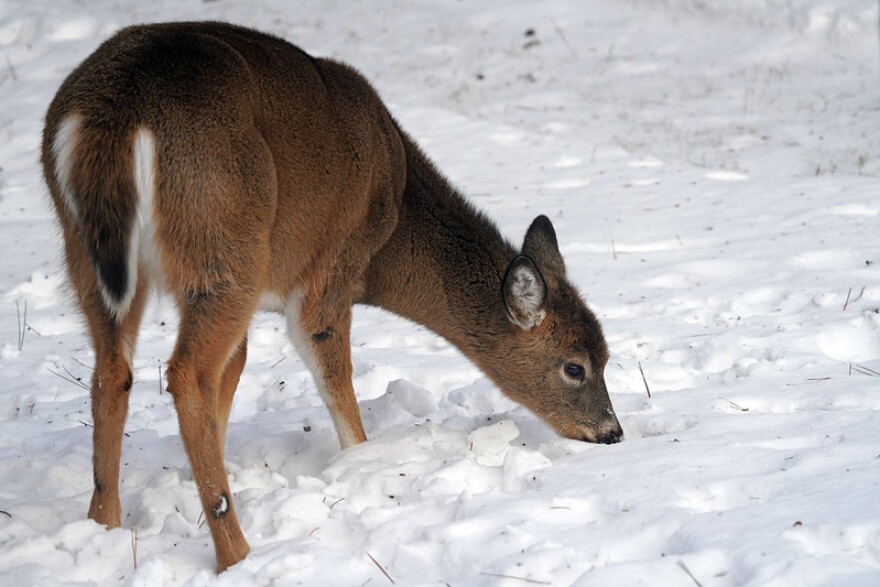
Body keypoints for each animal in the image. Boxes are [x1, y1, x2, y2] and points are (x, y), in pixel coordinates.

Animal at [39, 23, 620, 576]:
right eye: (575, 366)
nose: (611, 433)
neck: (392, 234)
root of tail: (114, 114)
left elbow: (235, 371)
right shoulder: (328, 274)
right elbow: (334, 377)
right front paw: (363, 464)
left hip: (93, 256)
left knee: (112, 371)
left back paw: (104, 525)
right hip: (225, 244)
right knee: (185, 373)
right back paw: (236, 552)